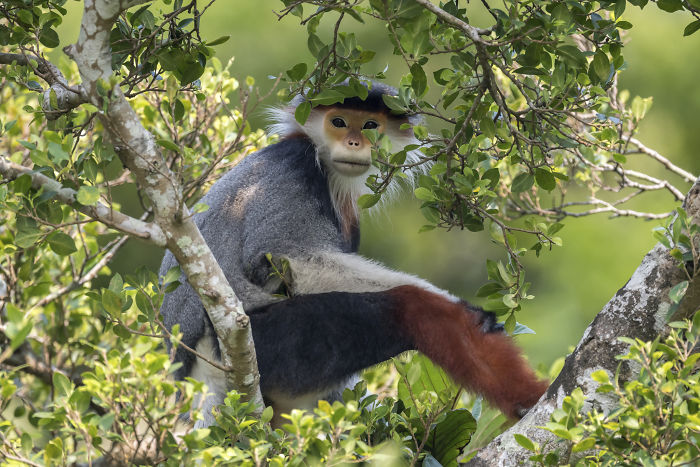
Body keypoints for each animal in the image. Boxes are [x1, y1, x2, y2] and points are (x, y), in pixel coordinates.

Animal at [159, 81, 547, 428]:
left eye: (370, 125)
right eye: (339, 121)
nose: (354, 142)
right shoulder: (293, 166)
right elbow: (285, 254)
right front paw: (459, 305)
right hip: (266, 343)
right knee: (412, 308)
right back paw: (528, 397)